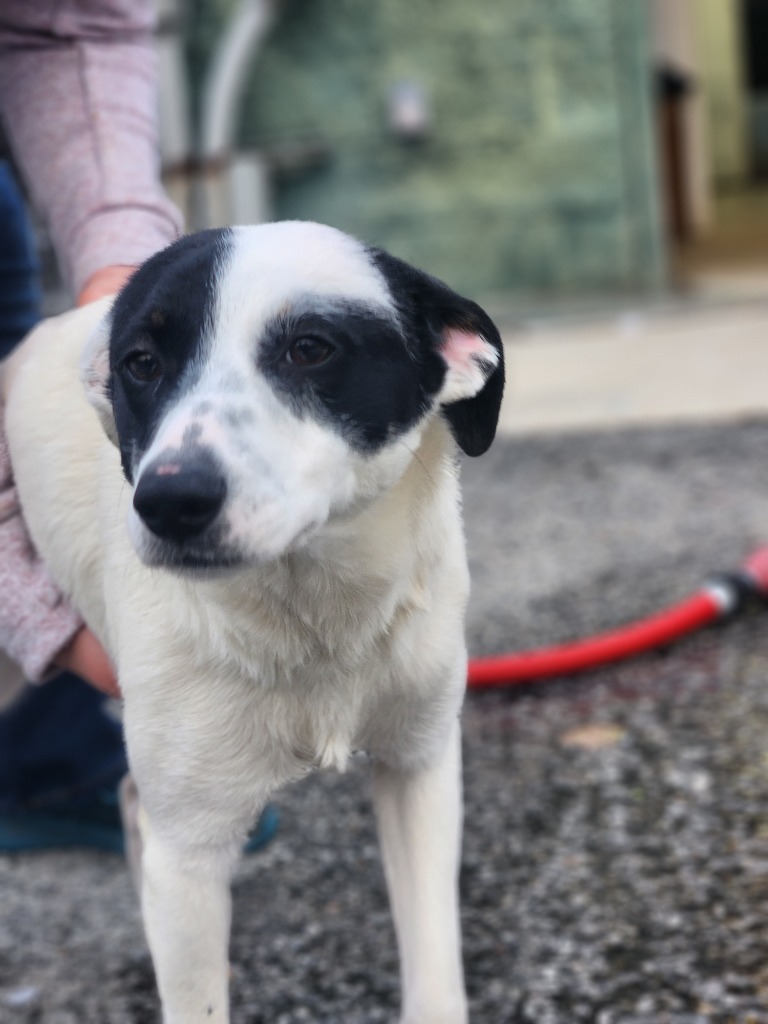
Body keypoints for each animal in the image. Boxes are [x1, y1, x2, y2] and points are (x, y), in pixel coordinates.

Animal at [3, 224, 505, 1024]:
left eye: (311, 348)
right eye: (141, 363)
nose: (170, 502)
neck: (314, 619)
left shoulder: (419, 767)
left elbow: (434, 974)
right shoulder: (190, 853)